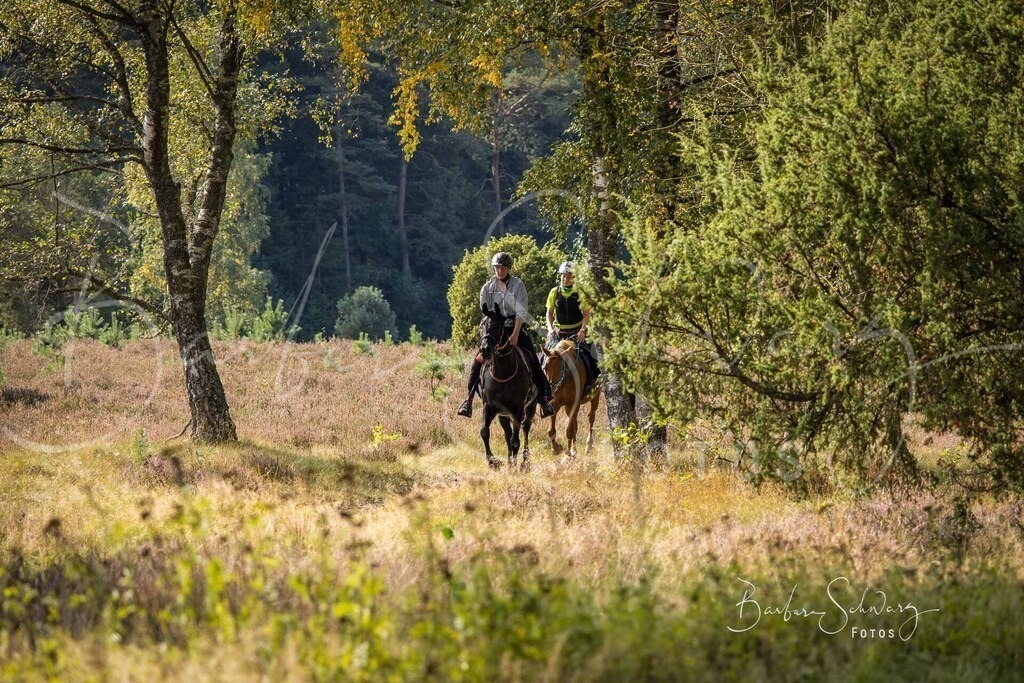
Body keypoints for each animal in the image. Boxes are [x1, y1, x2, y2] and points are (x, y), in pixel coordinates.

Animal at [477, 305, 538, 470]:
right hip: (503, 414)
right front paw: (492, 461)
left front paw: (514, 465)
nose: (485, 349)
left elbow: (515, 440)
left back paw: (524, 461)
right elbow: (484, 431)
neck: (503, 372)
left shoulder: (517, 409)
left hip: (530, 407)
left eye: (498, 326)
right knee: (507, 433)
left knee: (525, 428)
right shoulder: (489, 406)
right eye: (481, 326)